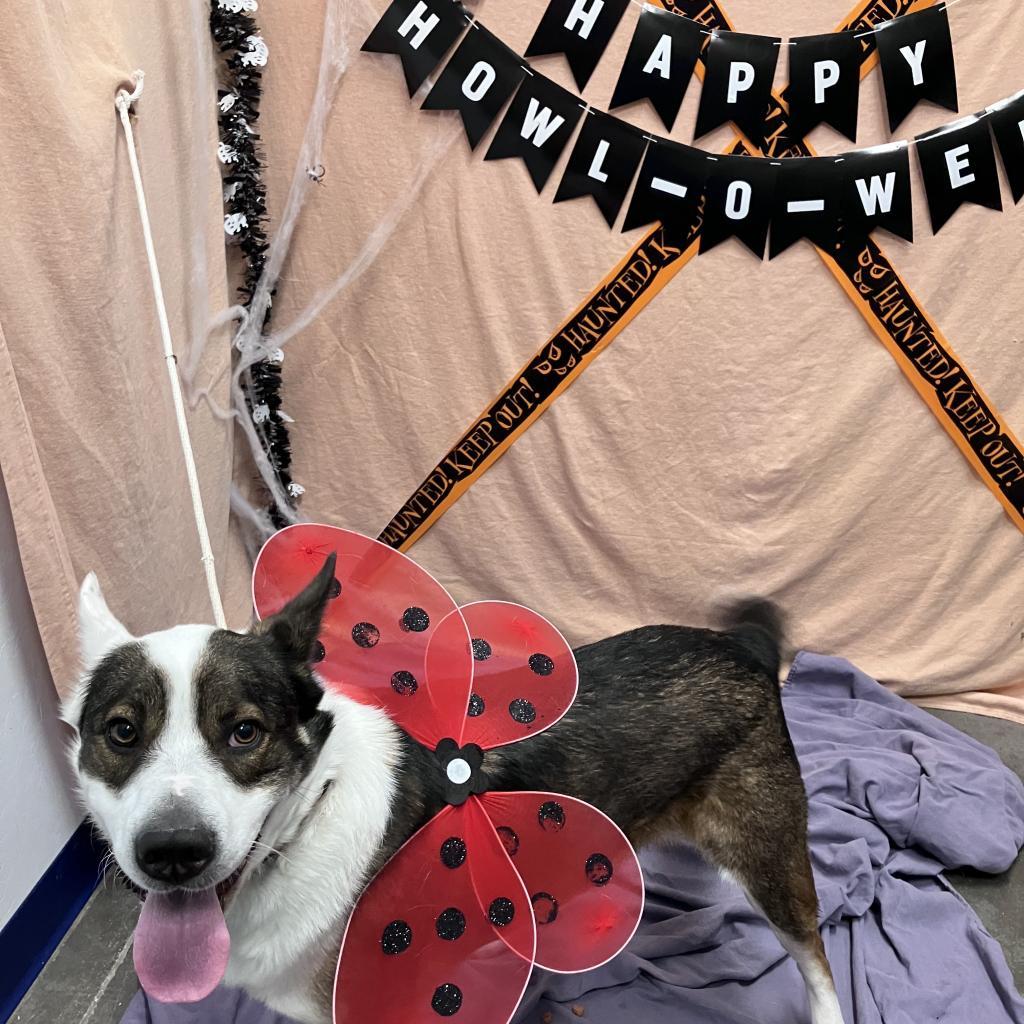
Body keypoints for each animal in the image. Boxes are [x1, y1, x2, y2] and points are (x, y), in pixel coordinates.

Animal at [64, 557, 843, 1024]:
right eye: (121, 731)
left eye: (245, 732)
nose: (172, 853)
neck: (306, 823)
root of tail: (742, 646)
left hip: (771, 858)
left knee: (815, 956)